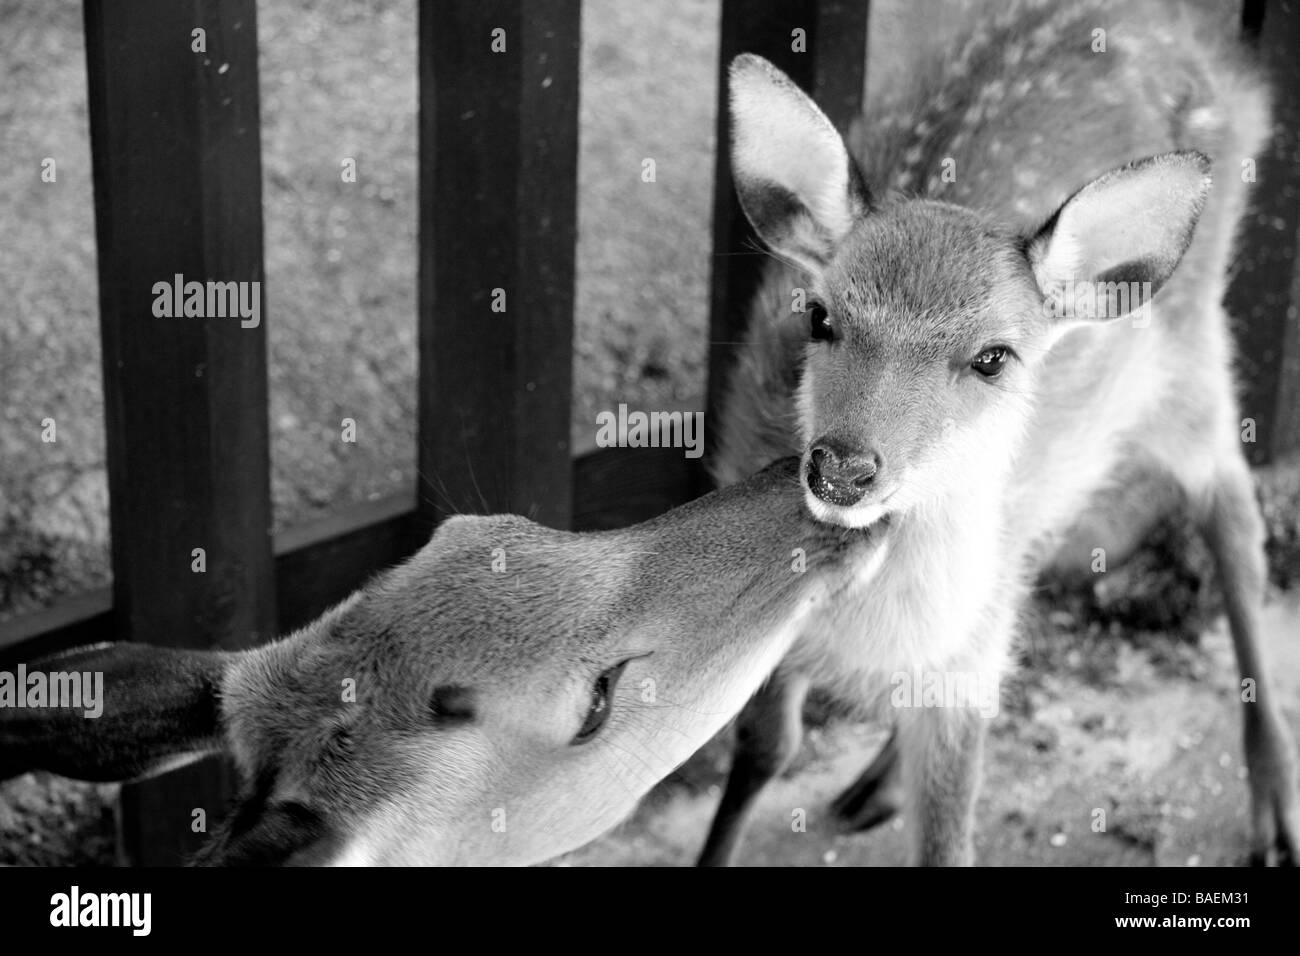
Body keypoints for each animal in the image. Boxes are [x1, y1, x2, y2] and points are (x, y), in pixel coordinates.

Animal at [702, 0, 1300, 868]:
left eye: (993, 357)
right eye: (819, 317)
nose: (843, 467)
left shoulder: (968, 674)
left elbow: (949, 837)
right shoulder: (770, 641)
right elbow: (762, 753)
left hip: (1193, 356)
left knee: (1234, 512)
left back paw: (1277, 808)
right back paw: (875, 783)